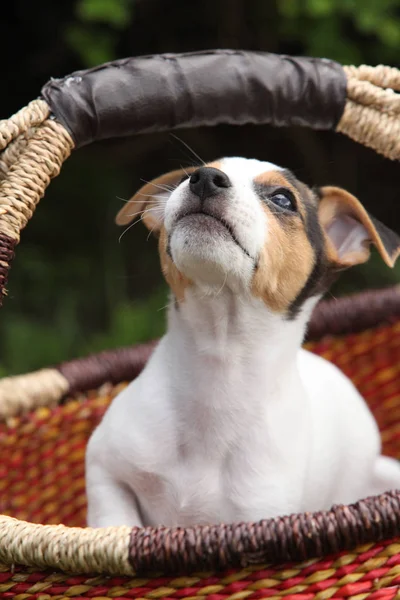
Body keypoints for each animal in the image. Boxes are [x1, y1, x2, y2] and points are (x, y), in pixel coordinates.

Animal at [86, 157, 400, 528]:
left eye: (282, 199)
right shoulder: (104, 465)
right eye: (186, 176)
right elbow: (113, 519)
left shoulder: (259, 516)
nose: (205, 178)